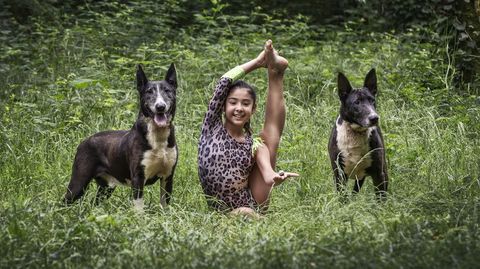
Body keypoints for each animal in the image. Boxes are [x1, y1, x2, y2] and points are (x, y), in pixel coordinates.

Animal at [62, 63, 177, 209]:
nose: (160, 106)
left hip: (106, 187)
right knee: (65, 200)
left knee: (95, 203)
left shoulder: (167, 176)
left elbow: (165, 206)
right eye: (149, 92)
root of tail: (84, 141)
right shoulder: (138, 177)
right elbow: (139, 207)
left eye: (167, 91)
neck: (158, 135)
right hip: (79, 181)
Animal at [328, 68, 388, 199]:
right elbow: (343, 198)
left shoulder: (378, 174)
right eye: (357, 102)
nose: (374, 118)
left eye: (372, 100)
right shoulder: (339, 175)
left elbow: (381, 198)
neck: (356, 132)